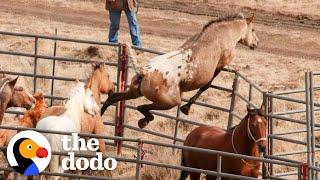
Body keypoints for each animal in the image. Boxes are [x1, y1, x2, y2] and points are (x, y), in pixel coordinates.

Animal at [101, 13, 258, 128]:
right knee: (142, 107)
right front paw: (186, 108)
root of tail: (145, 73)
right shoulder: (221, 65)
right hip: (170, 102)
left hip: (134, 92)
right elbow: (206, 86)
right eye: (253, 30)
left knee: (113, 98)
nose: (256, 43)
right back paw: (144, 121)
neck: (223, 34)